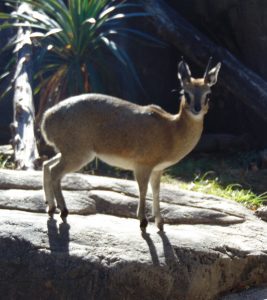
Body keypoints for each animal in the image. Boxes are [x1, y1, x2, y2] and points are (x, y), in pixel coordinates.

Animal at [42, 58, 222, 232]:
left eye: (208, 94)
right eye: (186, 92)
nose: (197, 109)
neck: (171, 130)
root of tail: (47, 117)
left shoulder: (158, 169)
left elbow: (156, 191)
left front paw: (160, 223)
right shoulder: (142, 166)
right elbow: (143, 190)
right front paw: (143, 221)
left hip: (68, 153)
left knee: (47, 165)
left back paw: (50, 207)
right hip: (78, 155)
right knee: (55, 171)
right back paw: (63, 210)